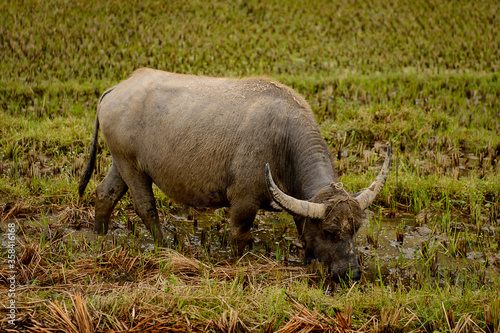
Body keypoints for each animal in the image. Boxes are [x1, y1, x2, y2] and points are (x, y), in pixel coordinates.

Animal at [79, 67, 390, 280]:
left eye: (355, 229)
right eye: (328, 231)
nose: (351, 274)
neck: (282, 140)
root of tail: (115, 90)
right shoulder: (244, 202)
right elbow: (240, 236)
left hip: (120, 163)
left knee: (105, 194)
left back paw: (99, 237)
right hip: (132, 166)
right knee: (145, 207)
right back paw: (166, 246)